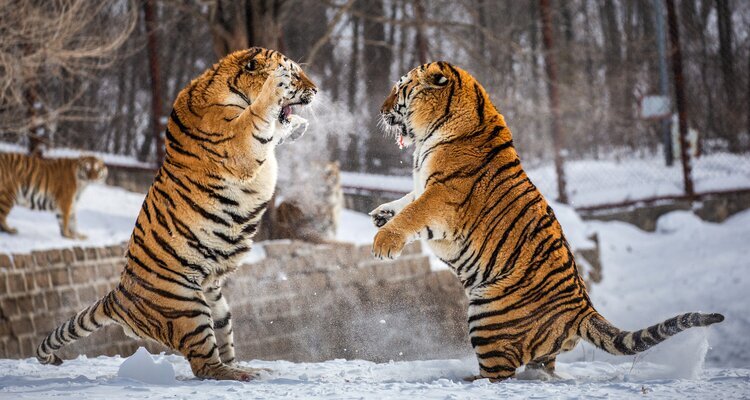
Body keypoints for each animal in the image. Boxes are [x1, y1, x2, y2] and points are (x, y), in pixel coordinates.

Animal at [35, 47, 317, 381]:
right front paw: (276, 87)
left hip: (217, 306)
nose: (316, 90)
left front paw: (297, 125)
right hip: (188, 308)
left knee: (221, 349)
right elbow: (259, 116)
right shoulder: (239, 143)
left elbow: (276, 128)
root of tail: (118, 295)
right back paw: (243, 375)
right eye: (296, 74)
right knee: (204, 366)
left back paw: (246, 367)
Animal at [371, 61, 724, 381]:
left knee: (498, 375)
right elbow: (406, 200)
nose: (381, 109)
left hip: (488, 314)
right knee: (541, 368)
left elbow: (413, 212)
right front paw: (381, 214)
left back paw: (463, 380)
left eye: (400, 88)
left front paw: (383, 243)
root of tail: (582, 308)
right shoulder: (424, 187)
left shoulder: (442, 196)